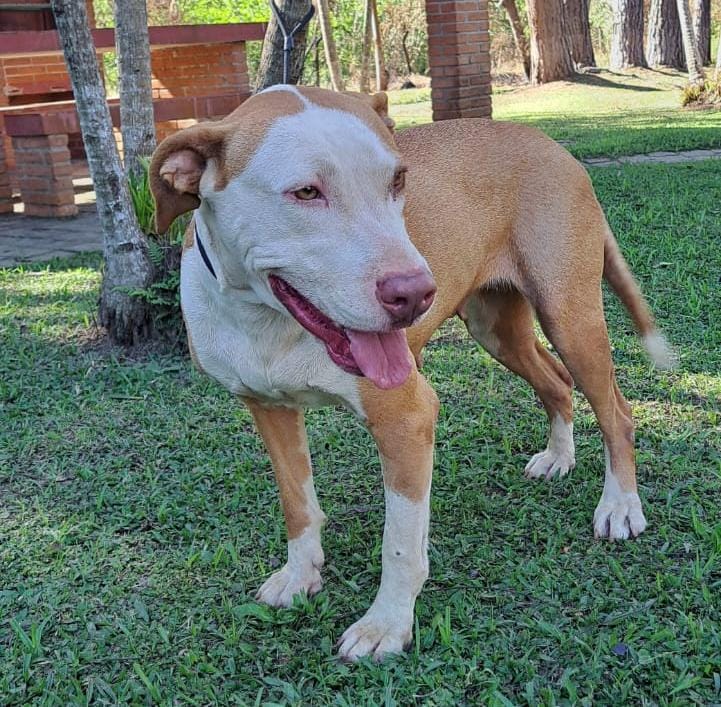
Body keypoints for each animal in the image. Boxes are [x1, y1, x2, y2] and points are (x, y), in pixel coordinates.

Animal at [149, 87, 672, 664]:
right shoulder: (270, 410)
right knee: (556, 382)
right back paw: (559, 457)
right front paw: (300, 575)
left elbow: (398, 543)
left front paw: (387, 624)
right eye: (306, 191)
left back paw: (620, 507)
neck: (268, 322)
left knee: (617, 411)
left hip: (570, 316)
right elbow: (297, 504)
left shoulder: (406, 418)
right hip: (496, 328)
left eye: (398, 181)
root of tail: (549, 143)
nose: (416, 294)